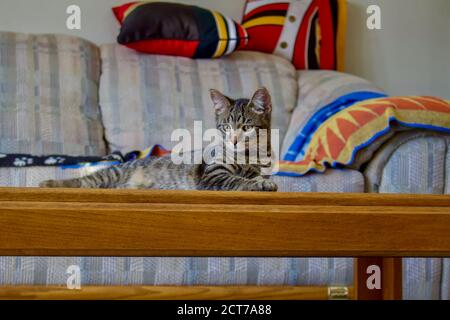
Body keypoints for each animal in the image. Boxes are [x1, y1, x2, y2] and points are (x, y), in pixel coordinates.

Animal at [39, 87, 278, 191]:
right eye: (225, 127)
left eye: (247, 127)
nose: (233, 141)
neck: (248, 156)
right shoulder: (212, 174)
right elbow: (236, 180)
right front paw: (257, 184)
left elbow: (254, 175)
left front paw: (262, 181)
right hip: (110, 174)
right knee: (84, 181)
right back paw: (50, 183)